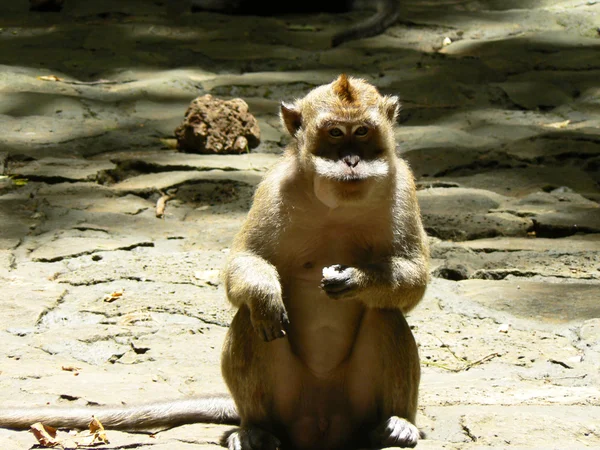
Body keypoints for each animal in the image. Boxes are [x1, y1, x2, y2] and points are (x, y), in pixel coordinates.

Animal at [0, 74, 428, 450]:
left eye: (363, 132)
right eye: (336, 133)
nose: (351, 160)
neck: (336, 202)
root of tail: (322, 430)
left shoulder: (402, 185)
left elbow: (414, 277)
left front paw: (354, 279)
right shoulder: (275, 187)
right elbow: (244, 264)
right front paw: (267, 294)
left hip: (356, 408)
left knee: (384, 314)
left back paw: (397, 424)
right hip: (288, 405)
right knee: (252, 321)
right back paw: (254, 428)